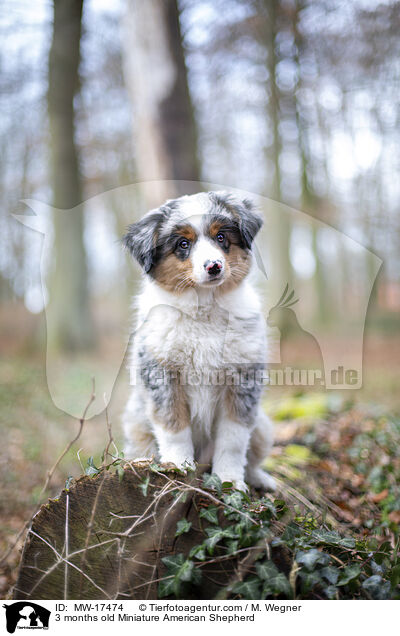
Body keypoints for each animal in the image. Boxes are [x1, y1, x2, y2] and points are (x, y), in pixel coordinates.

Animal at [122, 190, 276, 492]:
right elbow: (174, 428)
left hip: (263, 427)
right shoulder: (162, 375)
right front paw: (178, 466)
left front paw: (230, 481)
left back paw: (260, 479)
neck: (205, 310)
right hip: (136, 423)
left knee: (251, 457)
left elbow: (233, 440)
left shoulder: (242, 379)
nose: (214, 266)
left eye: (221, 237)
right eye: (184, 244)